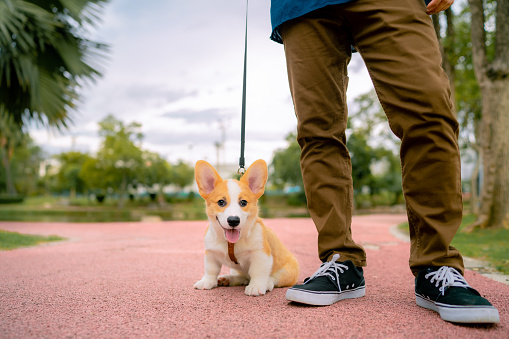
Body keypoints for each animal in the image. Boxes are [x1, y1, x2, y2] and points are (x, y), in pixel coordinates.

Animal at [193, 161, 298, 296]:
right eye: (221, 202)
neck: (231, 243)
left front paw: (255, 287)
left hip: (288, 271)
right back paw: (227, 279)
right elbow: (211, 270)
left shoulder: (261, 254)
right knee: (242, 278)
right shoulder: (211, 253)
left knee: (273, 278)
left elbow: (257, 272)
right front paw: (206, 281)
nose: (233, 220)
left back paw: (267, 283)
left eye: (243, 202)